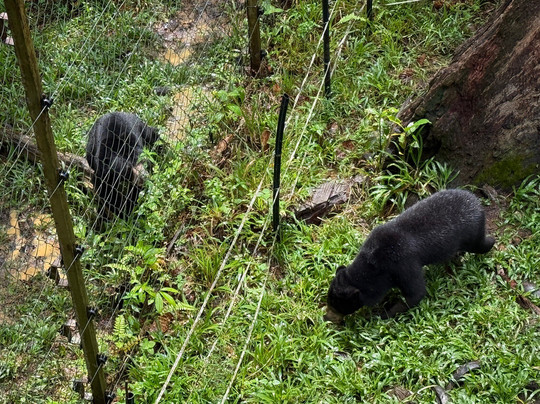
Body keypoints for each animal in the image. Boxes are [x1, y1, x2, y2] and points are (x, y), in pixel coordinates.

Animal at [324, 189, 495, 324]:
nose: (327, 318)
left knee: (482, 245)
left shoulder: (403, 265)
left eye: (338, 306)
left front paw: (381, 315)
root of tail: (476, 202)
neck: (373, 264)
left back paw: (490, 242)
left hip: (473, 234)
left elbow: (416, 293)